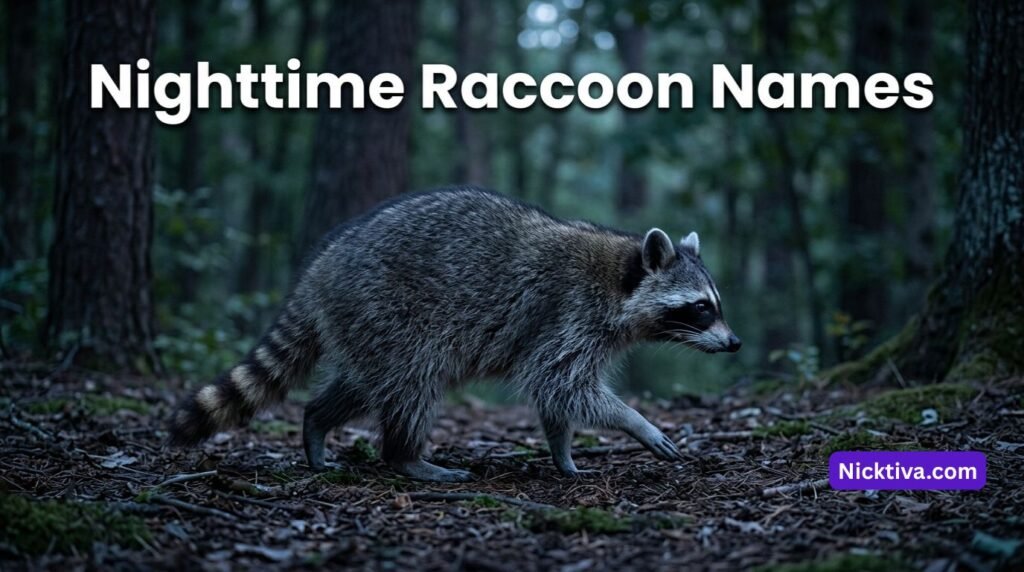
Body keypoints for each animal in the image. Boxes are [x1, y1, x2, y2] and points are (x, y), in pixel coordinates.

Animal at [169, 187, 741, 482]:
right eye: (700, 308)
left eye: (716, 305)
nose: (735, 344)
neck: (620, 273)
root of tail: (320, 268)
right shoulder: (568, 314)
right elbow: (560, 383)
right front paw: (635, 422)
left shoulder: (581, 330)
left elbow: (558, 397)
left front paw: (562, 453)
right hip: (388, 308)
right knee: (413, 382)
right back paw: (406, 456)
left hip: (365, 326)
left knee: (365, 384)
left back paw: (317, 422)